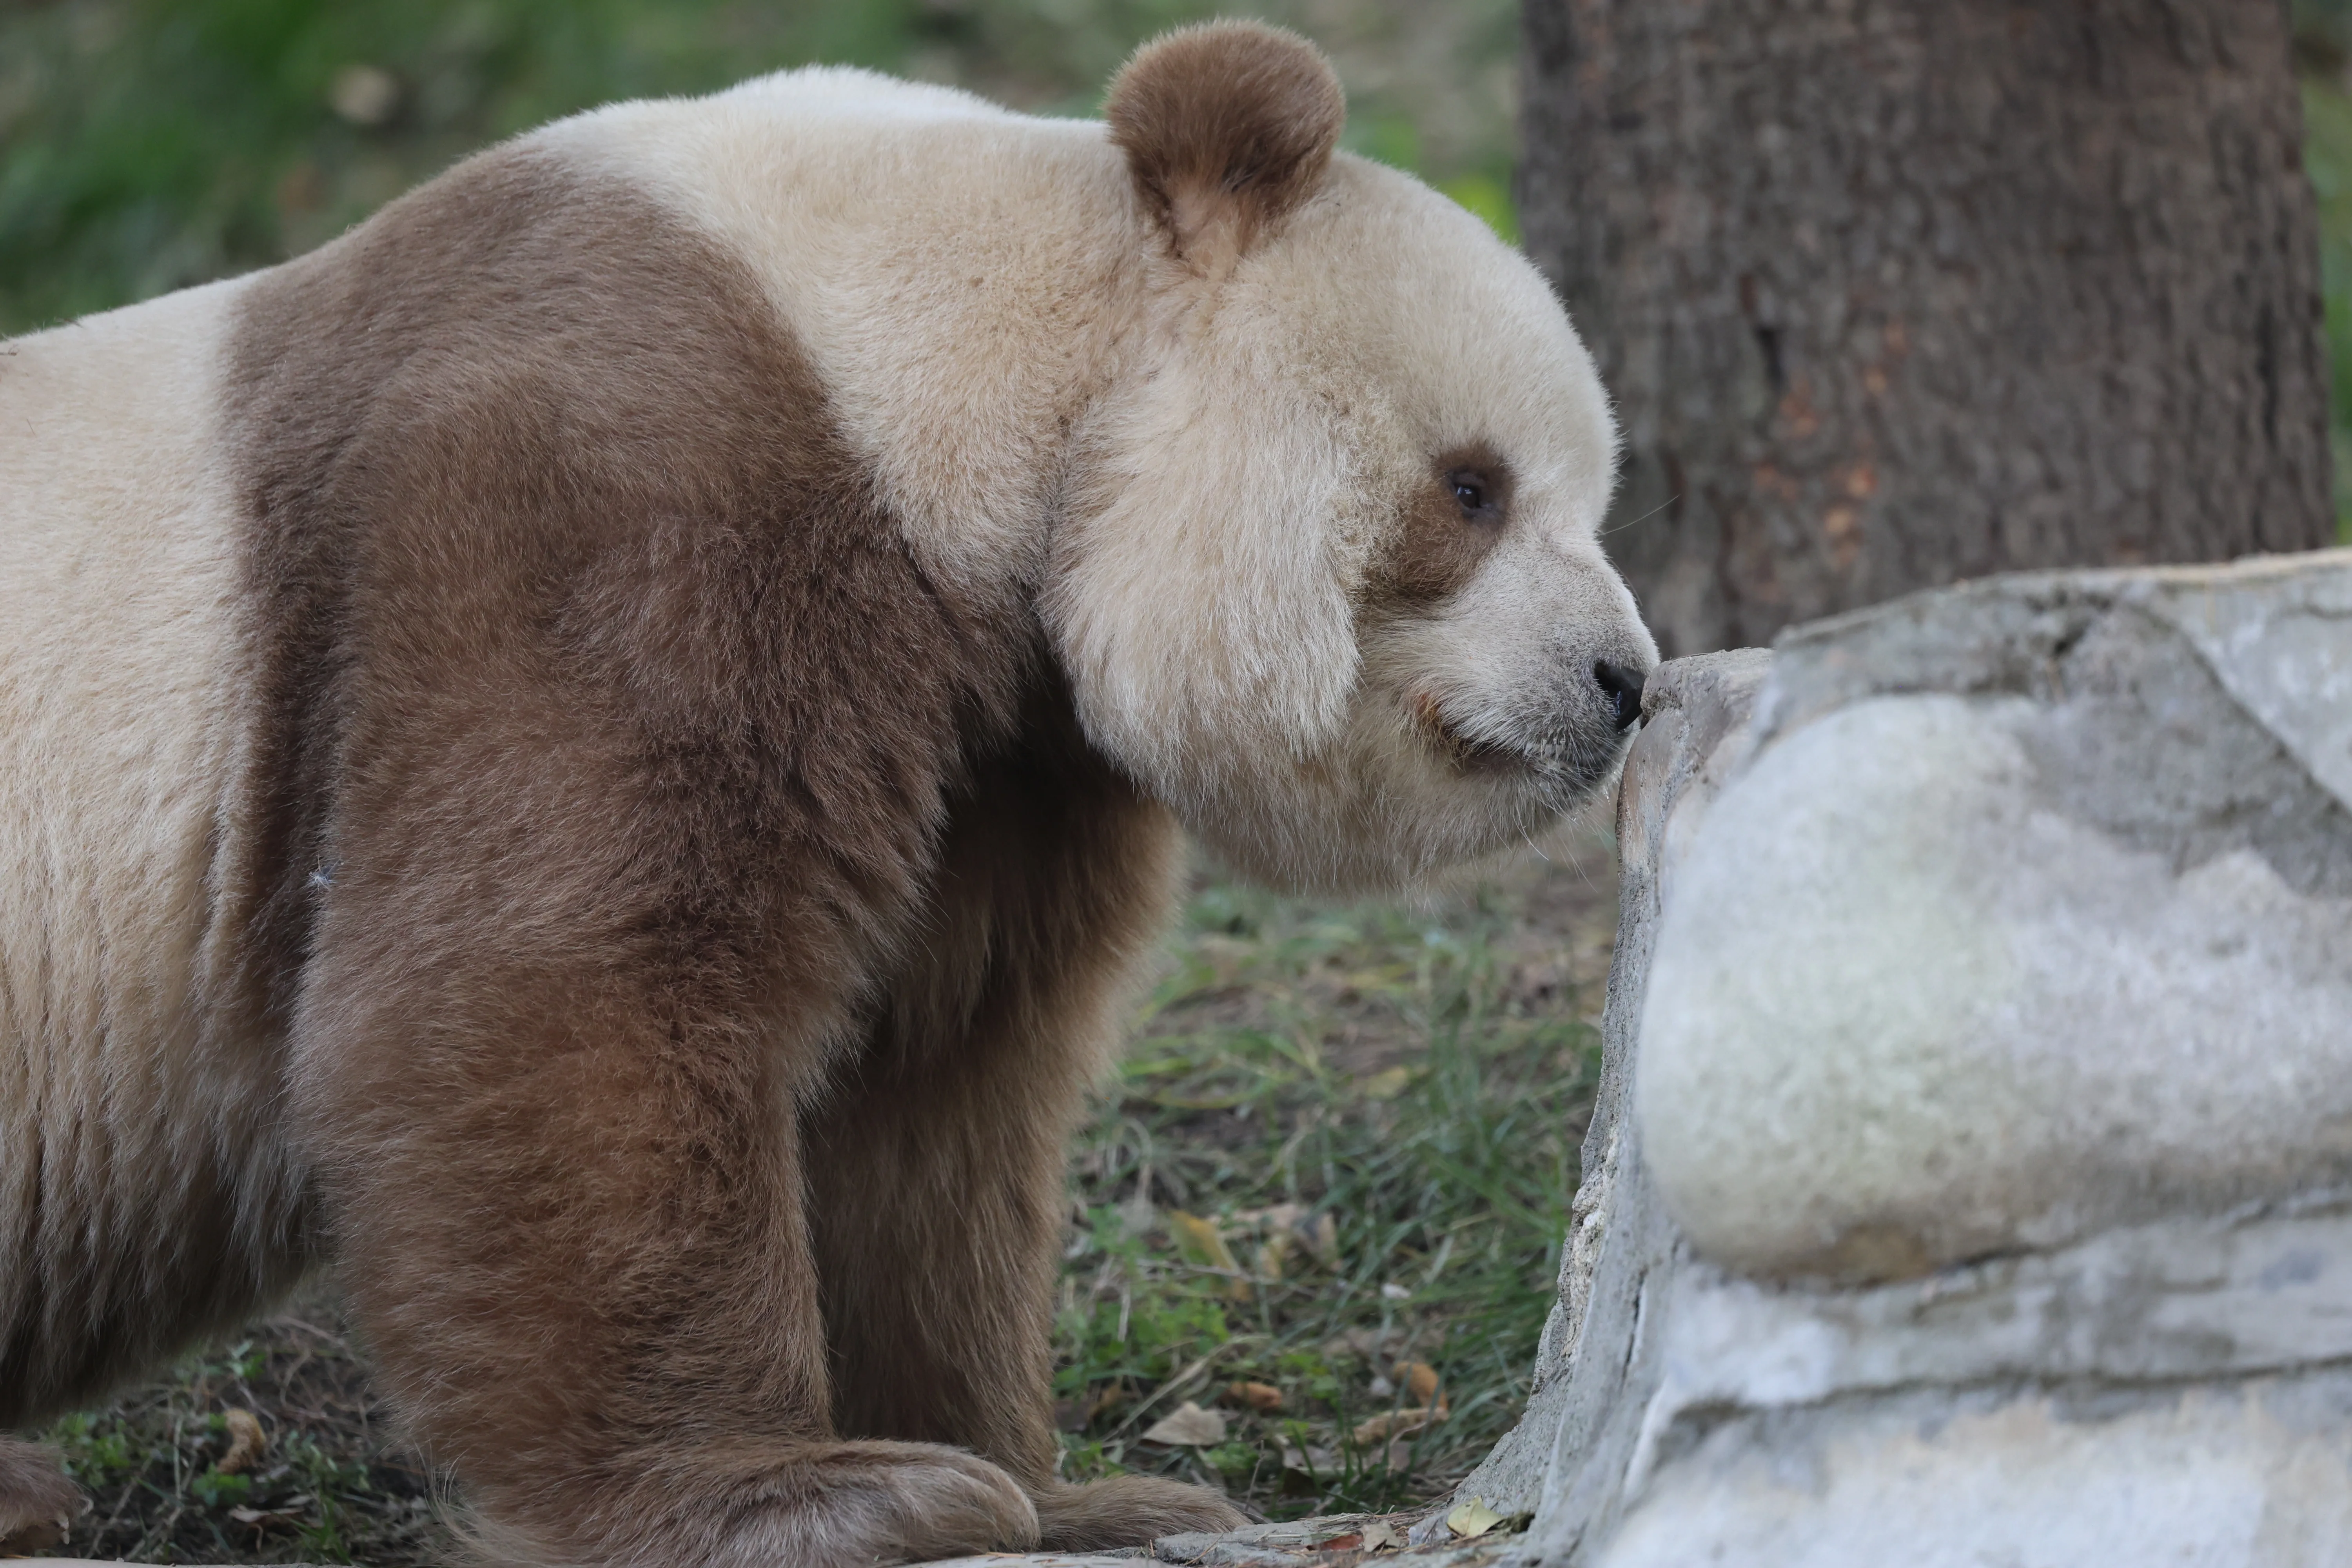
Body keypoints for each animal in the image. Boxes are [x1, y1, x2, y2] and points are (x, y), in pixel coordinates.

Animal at [0, 21, 1653, 1568]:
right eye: (1473, 487)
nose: (1622, 682)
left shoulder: (1003, 754)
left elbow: (931, 1094)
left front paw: (1052, 1486)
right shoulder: (609, 499)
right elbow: (544, 991)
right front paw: (803, 1496)